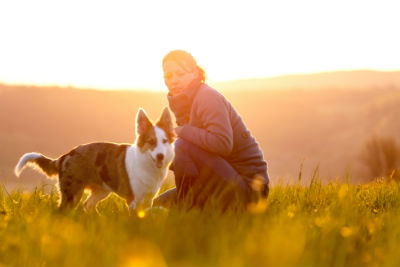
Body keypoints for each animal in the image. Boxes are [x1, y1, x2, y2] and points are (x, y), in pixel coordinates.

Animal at [14, 108, 174, 213]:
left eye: (165, 141)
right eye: (151, 142)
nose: (160, 156)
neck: (146, 163)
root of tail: (66, 155)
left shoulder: (148, 199)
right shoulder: (133, 199)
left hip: (101, 190)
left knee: (88, 205)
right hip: (72, 192)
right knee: (63, 210)